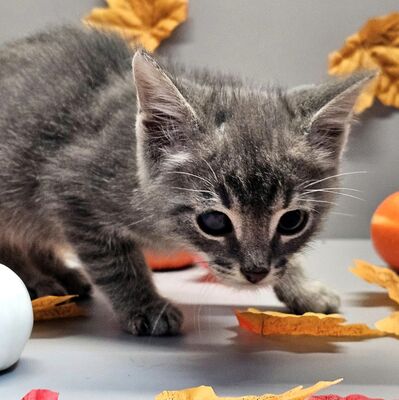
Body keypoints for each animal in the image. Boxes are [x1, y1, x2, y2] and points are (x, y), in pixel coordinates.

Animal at [0, 26, 374, 336]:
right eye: (214, 222)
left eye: (292, 221)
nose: (255, 272)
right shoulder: (70, 190)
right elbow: (115, 262)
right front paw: (145, 305)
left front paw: (303, 288)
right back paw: (38, 279)